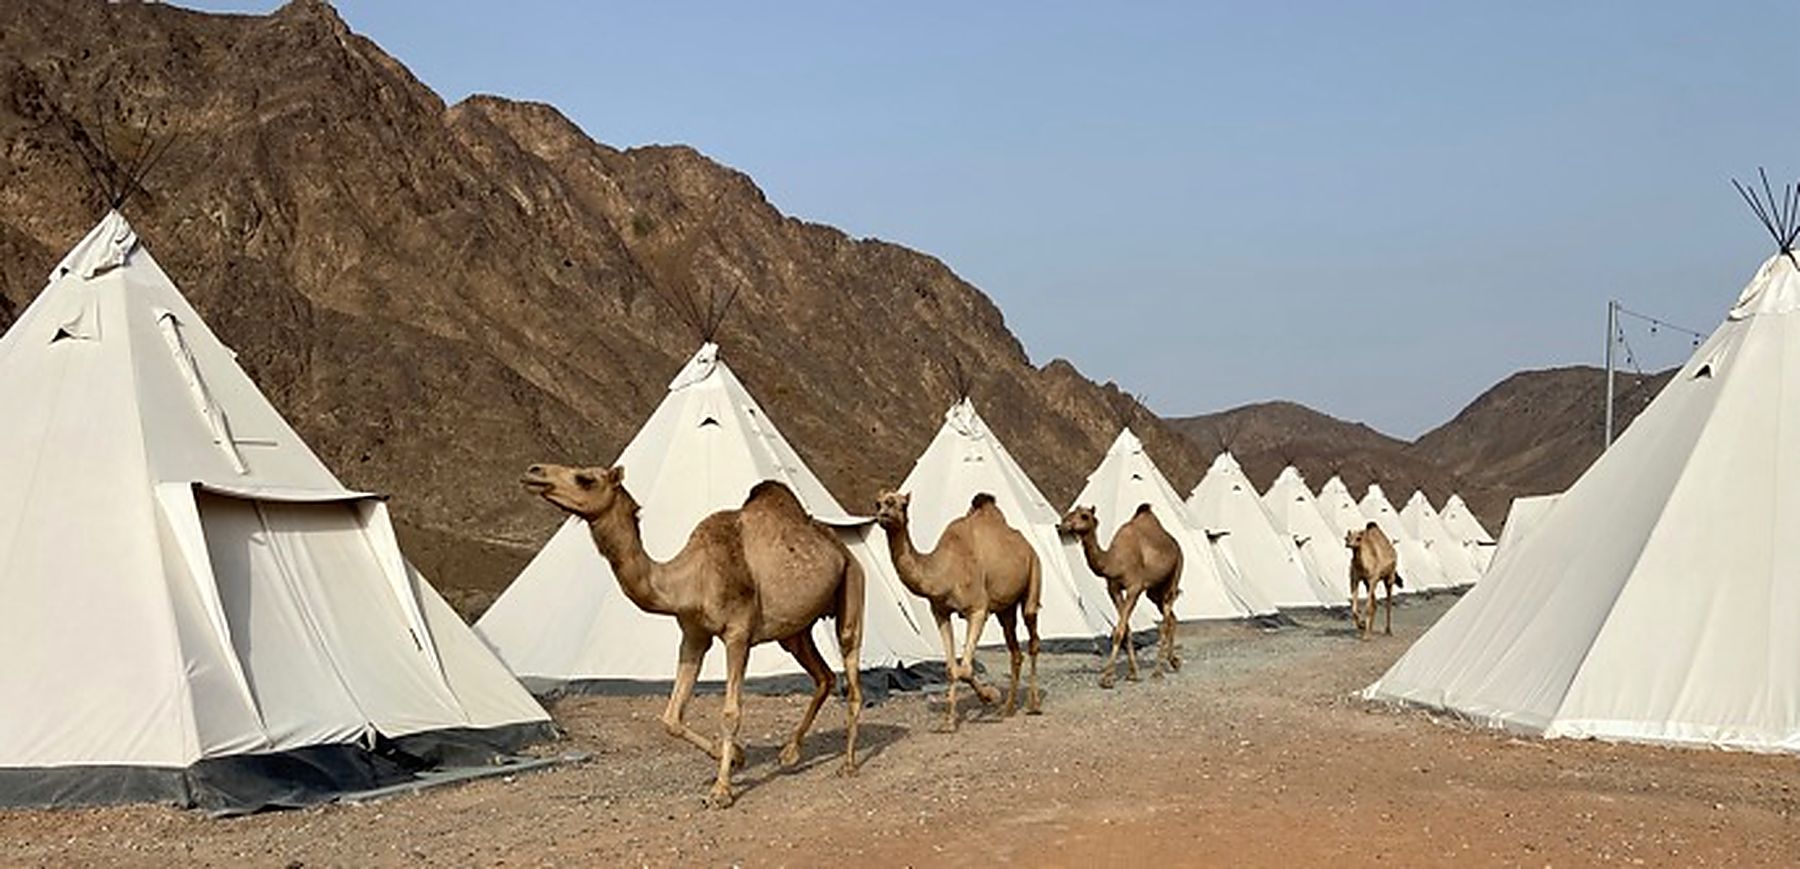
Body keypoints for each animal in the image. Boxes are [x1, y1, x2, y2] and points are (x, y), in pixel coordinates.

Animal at [521, 464, 863, 809]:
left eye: (585, 479)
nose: (534, 472)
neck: (691, 580)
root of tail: (841, 548)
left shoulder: (738, 634)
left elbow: (730, 713)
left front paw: (721, 791)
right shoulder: (693, 635)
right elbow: (671, 718)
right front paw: (735, 757)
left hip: (852, 585)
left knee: (851, 671)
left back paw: (848, 764)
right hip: (795, 632)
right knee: (824, 677)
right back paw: (790, 752)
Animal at [873, 492, 1043, 730]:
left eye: (903, 504)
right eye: (878, 503)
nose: (884, 514)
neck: (945, 571)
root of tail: (1027, 546)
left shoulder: (978, 609)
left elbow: (966, 667)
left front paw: (990, 696)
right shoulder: (941, 613)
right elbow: (952, 667)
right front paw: (948, 721)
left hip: (1034, 573)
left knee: (1033, 635)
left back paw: (1033, 705)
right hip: (1005, 609)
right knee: (1015, 650)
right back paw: (1008, 709)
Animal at [1056, 504, 1182, 688]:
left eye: (1084, 516)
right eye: (1069, 514)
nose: (1061, 526)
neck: (1113, 561)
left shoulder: (1134, 588)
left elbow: (1119, 630)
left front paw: (1107, 678)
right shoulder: (1113, 589)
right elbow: (1126, 629)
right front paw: (1133, 673)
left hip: (1174, 575)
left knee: (1165, 620)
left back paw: (1157, 672)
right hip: (1154, 591)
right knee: (1171, 617)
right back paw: (1174, 661)